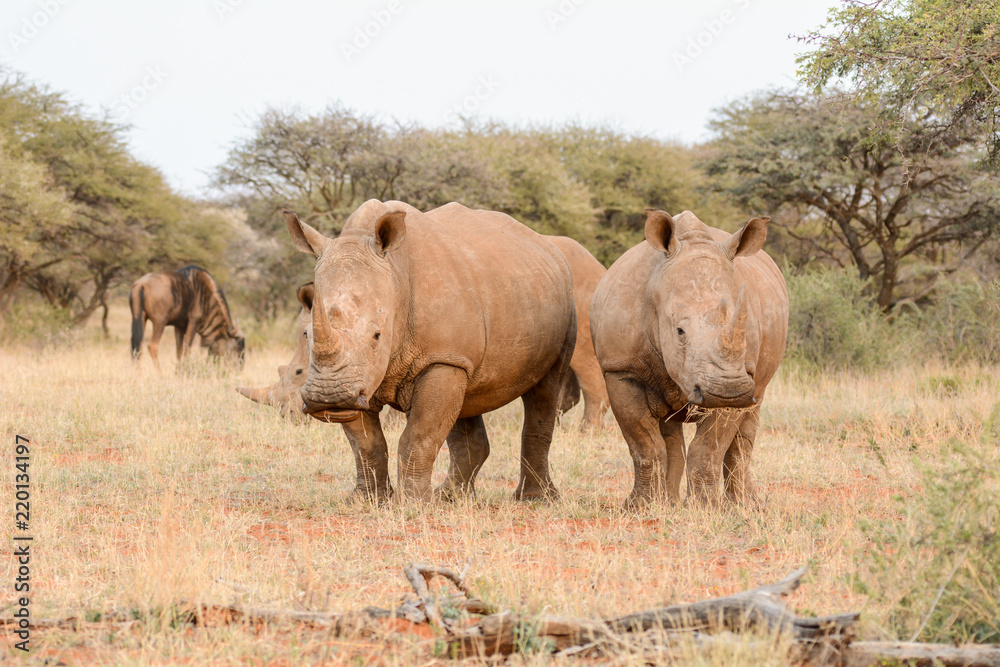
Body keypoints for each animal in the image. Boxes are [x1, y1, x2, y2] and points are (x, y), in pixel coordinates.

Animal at [238, 238, 610, 428]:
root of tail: (600, 266)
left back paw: (585, 433)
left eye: (298, 373)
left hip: (578, 295)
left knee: (584, 363)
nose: (288, 417)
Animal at [285, 199, 577, 502]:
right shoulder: (361, 378)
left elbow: (420, 435)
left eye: (377, 335)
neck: (395, 275)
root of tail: (547, 245)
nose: (328, 396)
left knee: (545, 389)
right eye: (306, 335)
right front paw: (368, 501)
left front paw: (413, 503)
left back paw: (535, 500)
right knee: (466, 398)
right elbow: (365, 443)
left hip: (563, 306)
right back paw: (451, 498)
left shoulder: (439, 358)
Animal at [590, 210, 788, 507]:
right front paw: (640, 507)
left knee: (750, 416)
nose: (728, 390)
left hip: (755, 379)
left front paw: (704, 508)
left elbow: (708, 449)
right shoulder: (621, 369)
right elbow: (644, 445)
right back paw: (670, 502)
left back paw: (745, 505)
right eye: (679, 331)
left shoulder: (740, 376)